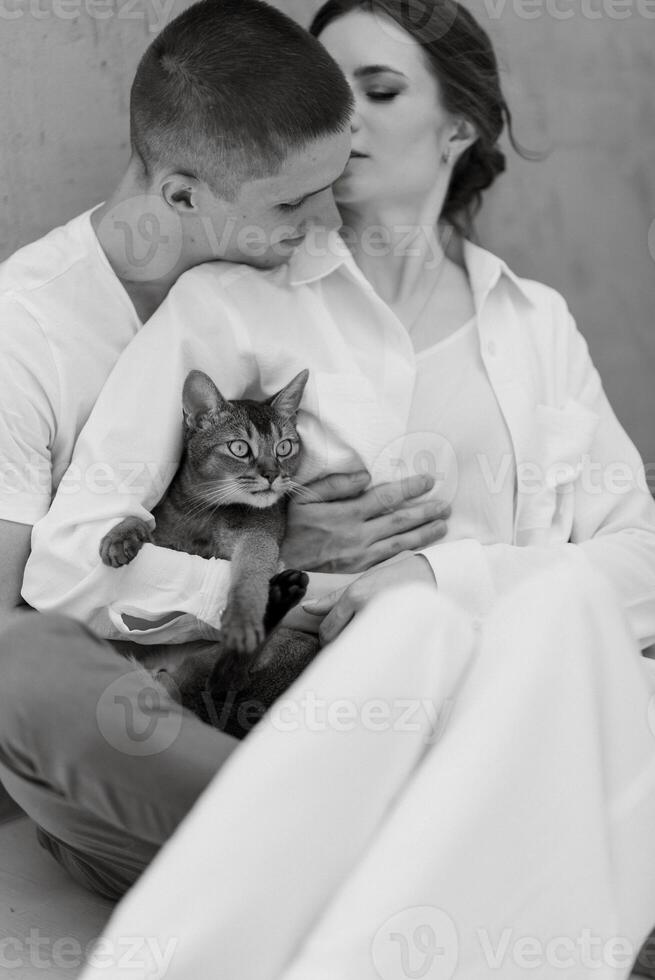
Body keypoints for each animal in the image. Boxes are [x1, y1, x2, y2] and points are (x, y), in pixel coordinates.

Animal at [99, 372, 320, 740]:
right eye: (239, 448)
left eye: (284, 447)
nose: (273, 474)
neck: (204, 514)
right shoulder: (167, 532)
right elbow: (146, 523)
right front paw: (120, 537)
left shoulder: (257, 536)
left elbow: (250, 571)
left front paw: (244, 615)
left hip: (293, 645)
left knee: (225, 682)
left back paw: (278, 599)